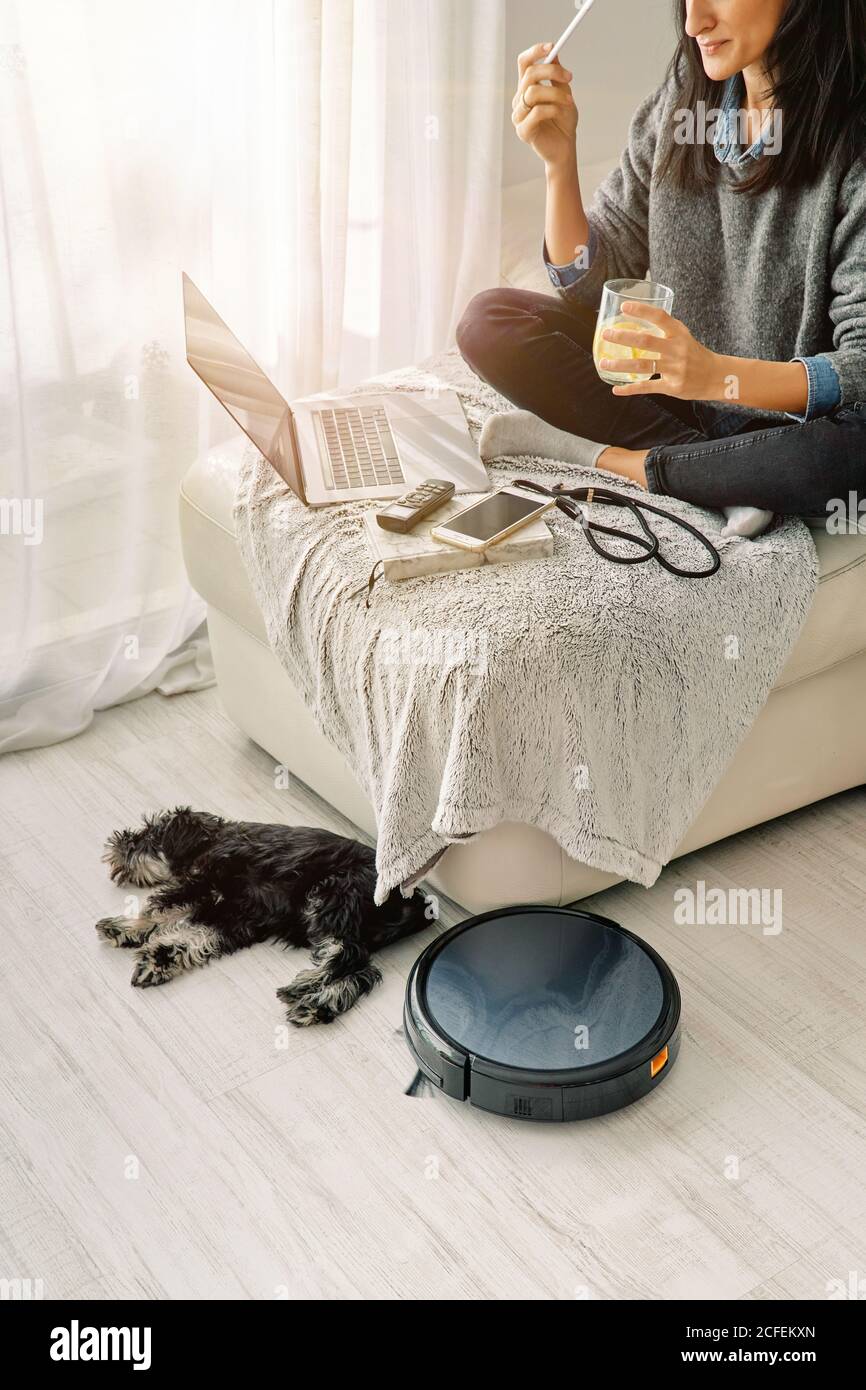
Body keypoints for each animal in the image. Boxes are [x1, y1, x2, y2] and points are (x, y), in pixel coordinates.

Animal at [96, 811, 433, 1028]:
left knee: (347, 955)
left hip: (332, 896)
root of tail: (416, 900)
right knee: (363, 972)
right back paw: (317, 1005)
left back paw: (306, 986)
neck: (210, 840)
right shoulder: (237, 917)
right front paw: (158, 958)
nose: (118, 842)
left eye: (147, 835)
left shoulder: (209, 887)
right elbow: (195, 934)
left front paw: (125, 929)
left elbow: (161, 907)